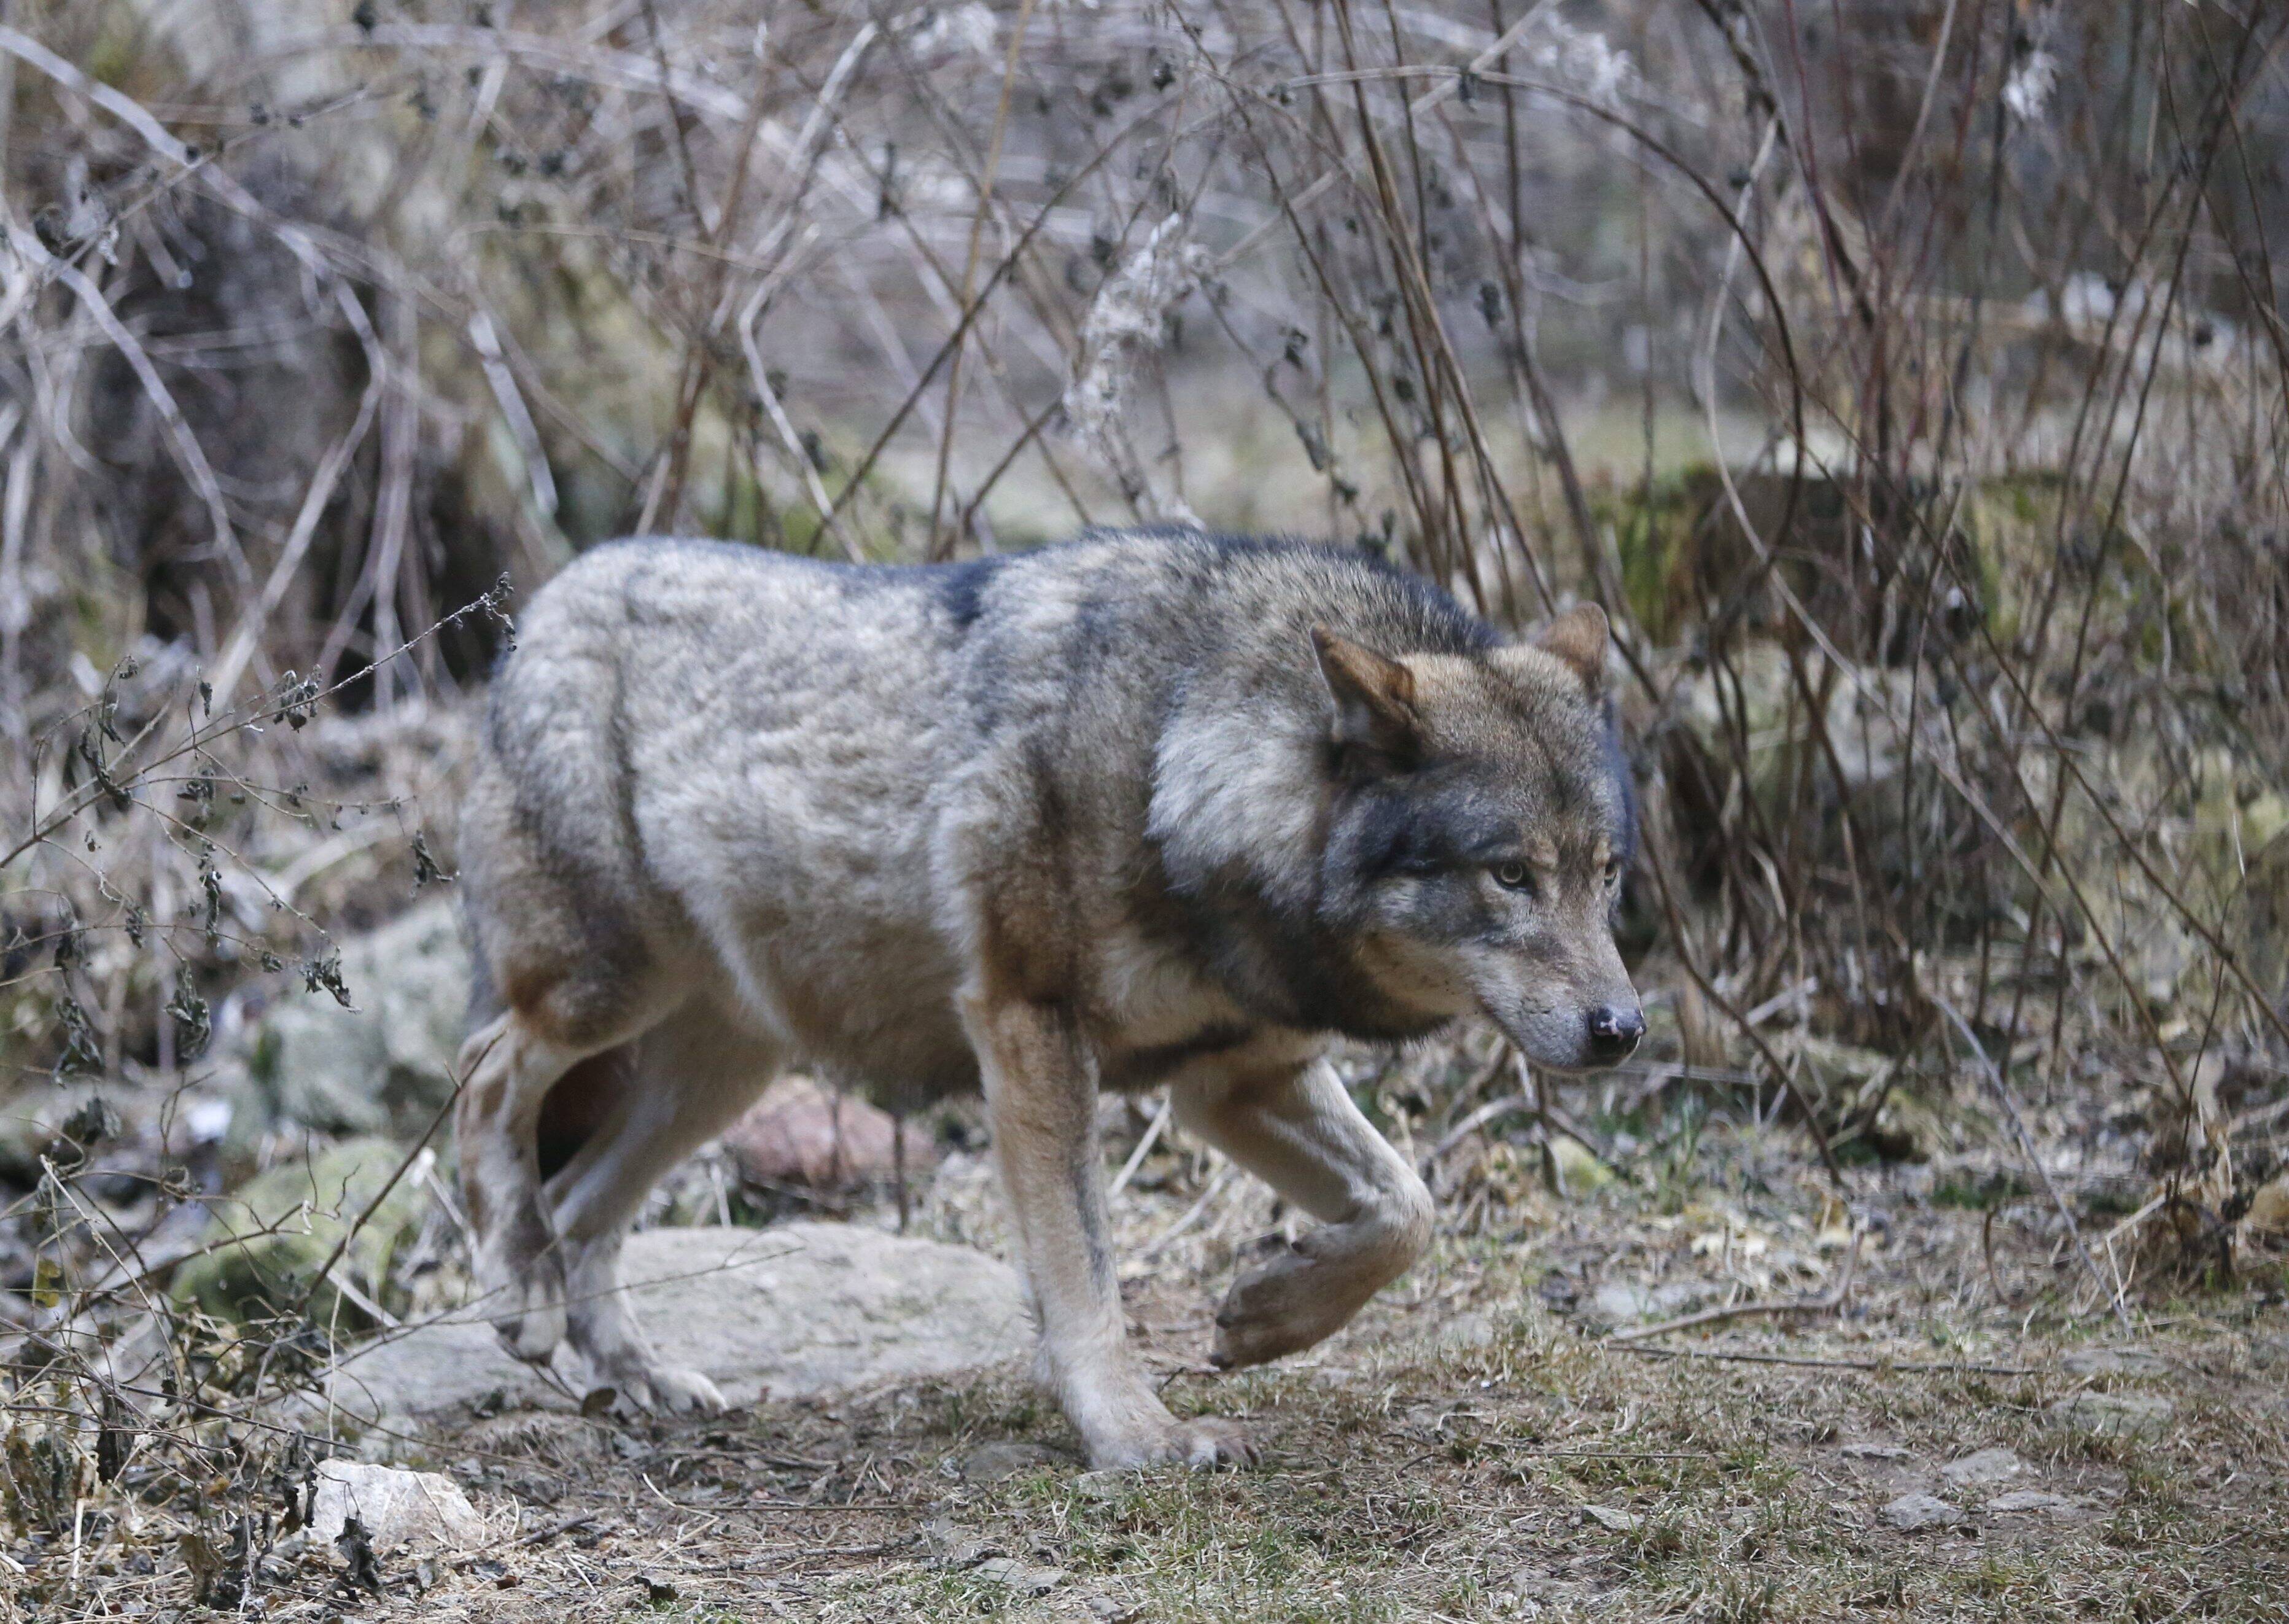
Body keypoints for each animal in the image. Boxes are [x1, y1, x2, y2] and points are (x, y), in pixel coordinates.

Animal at [454, 527, 1642, 1469]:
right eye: (1510, 875)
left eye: (1605, 873)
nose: (1623, 1030)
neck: (1175, 754)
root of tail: (554, 595)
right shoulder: (1031, 1029)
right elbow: (1085, 1277)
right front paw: (1137, 1436)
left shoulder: (1235, 1076)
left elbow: (1406, 1209)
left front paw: (1267, 1317)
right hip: (604, 995)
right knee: (485, 1083)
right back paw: (516, 1287)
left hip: (725, 1073)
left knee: (582, 1205)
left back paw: (635, 1378)